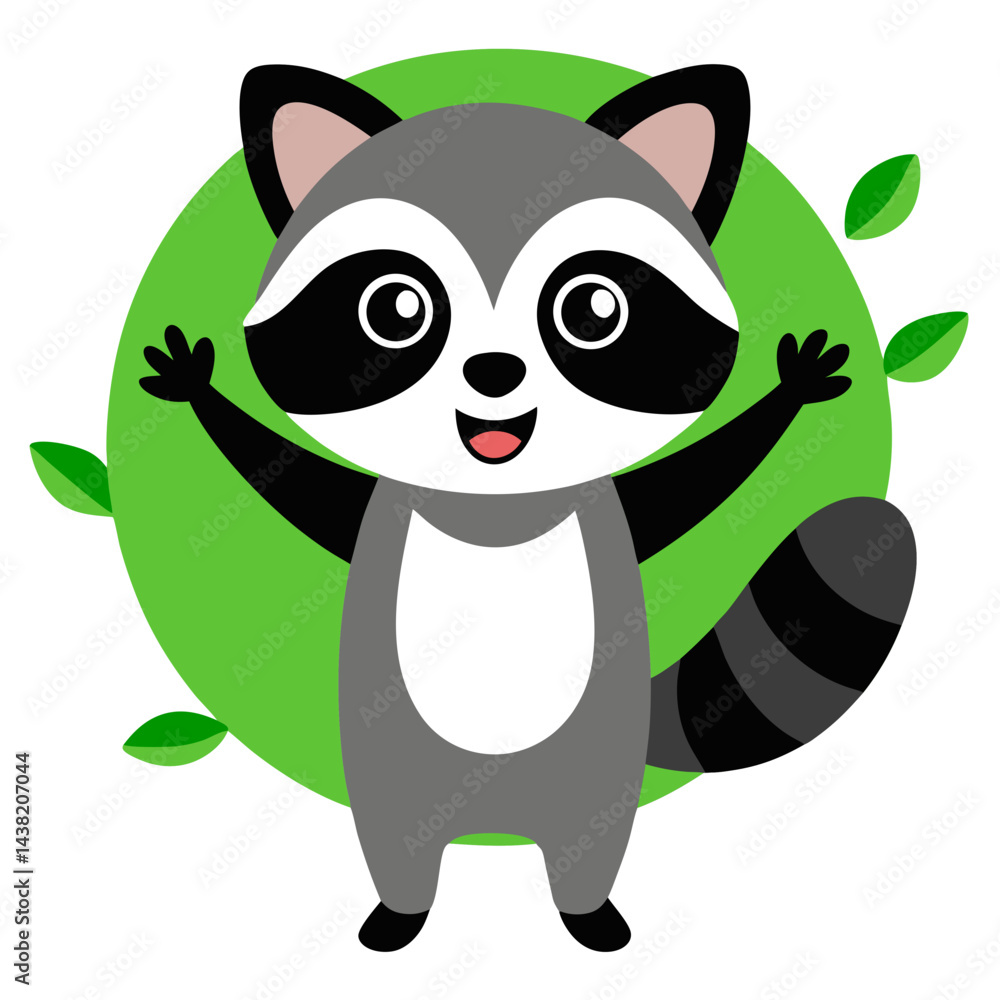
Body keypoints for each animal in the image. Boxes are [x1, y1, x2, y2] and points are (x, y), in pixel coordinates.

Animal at [140, 64, 916, 952]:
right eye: (395, 309)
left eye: (594, 309)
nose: (495, 371)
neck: (495, 502)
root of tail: (494, 820)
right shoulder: (378, 510)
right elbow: (285, 475)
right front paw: (197, 389)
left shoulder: (612, 504)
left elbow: (703, 477)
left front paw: (791, 392)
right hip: (398, 767)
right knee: (400, 840)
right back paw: (402, 912)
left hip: (592, 764)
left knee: (586, 841)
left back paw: (586, 912)